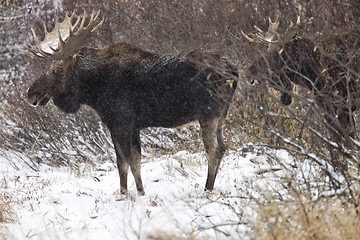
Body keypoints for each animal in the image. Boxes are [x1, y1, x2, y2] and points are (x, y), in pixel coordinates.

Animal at [16, 10, 238, 196]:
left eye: (58, 70)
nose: (32, 93)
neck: (93, 91)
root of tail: (233, 70)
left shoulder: (119, 123)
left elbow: (122, 163)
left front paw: (123, 194)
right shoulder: (134, 126)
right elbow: (136, 163)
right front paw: (140, 192)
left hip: (208, 113)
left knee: (213, 150)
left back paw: (207, 189)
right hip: (221, 115)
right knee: (223, 147)